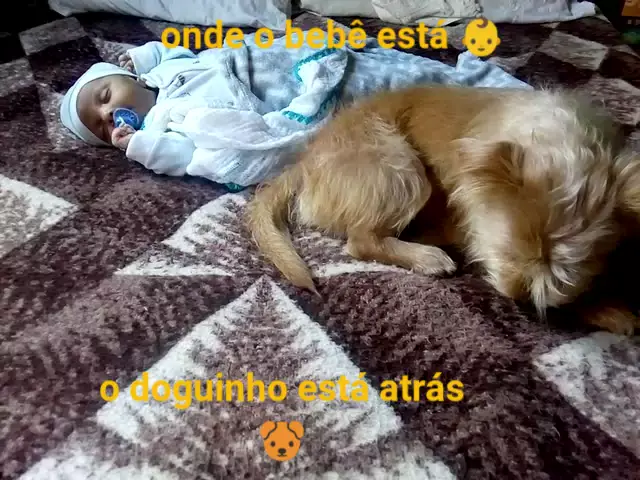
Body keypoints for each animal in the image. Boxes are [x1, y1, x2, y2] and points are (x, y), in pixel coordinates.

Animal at [246, 85, 640, 335]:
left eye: (571, 268)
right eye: (508, 254)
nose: (522, 305)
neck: (558, 141)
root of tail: (304, 163)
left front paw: (607, 305)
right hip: (401, 170)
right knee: (361, 240)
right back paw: (427, 256)